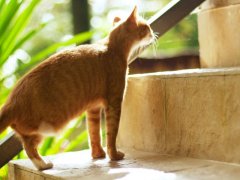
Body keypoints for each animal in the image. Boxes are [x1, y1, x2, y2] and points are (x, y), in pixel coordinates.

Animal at [0, 6, 154, 170]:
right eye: (146, 26)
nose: (153, 33)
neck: (112, 48)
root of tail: (10, 102)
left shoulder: (93, 108)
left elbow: (94, 133)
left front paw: (98, 155)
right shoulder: (114, 103)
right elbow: (111, 133)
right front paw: (114, 156)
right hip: (45, 128)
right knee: (29, 147)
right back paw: (43, 164)